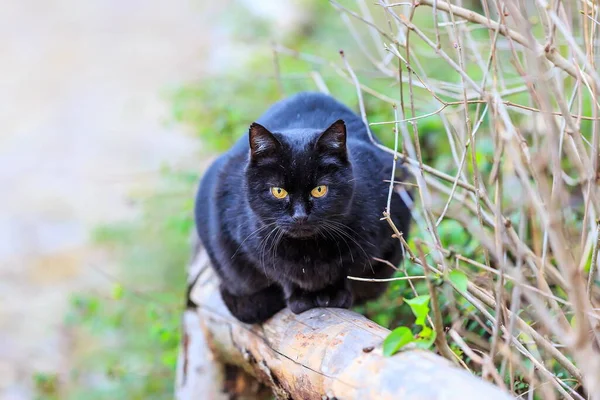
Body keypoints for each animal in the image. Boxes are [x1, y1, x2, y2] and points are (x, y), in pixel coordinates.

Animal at [195, 92, 410, 324]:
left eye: (319, 190)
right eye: (278, 191)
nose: (300, 216)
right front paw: (300, 298)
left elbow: (347, 269)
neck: (309, 251)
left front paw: (335, 295)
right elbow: (282, 273)